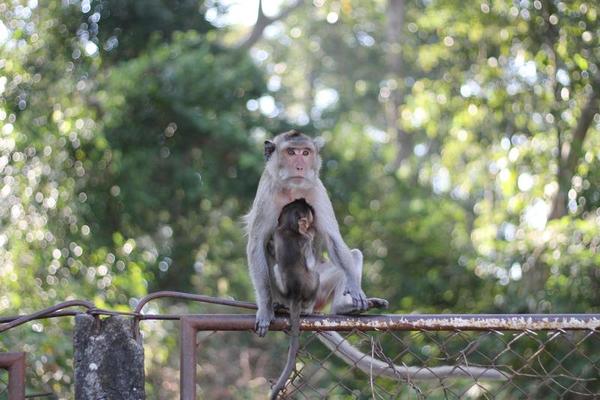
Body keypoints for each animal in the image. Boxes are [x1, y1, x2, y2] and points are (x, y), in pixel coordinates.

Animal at [245, 130, 506, 382]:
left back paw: (345, 306)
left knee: (351, 257)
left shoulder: (317, 189)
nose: (300, 166)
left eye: (305, 152)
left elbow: (333, 239)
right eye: (291, 152)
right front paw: (265, 309)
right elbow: (256, 244)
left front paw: (356, 289)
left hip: (319, 292)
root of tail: (303, 304)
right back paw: (278, 304)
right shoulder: (267, 191)